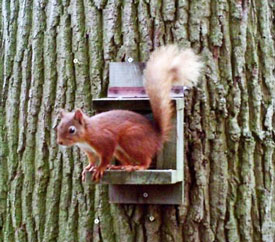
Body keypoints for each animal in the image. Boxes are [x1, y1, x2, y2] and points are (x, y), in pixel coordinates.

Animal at [56, 45, 203, 182]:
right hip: (121, 150)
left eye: (72, 130)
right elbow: (92, 160)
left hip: (131, 140)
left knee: (146, 160)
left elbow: (105, 157)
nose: (60, 142)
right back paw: (120, 166)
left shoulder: (105, 140)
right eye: (58, 127)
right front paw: (88, 168)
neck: (85, 135)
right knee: (127, 161)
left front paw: (100, 168)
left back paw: (138, 166)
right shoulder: (90, 151)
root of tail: (157, 137)